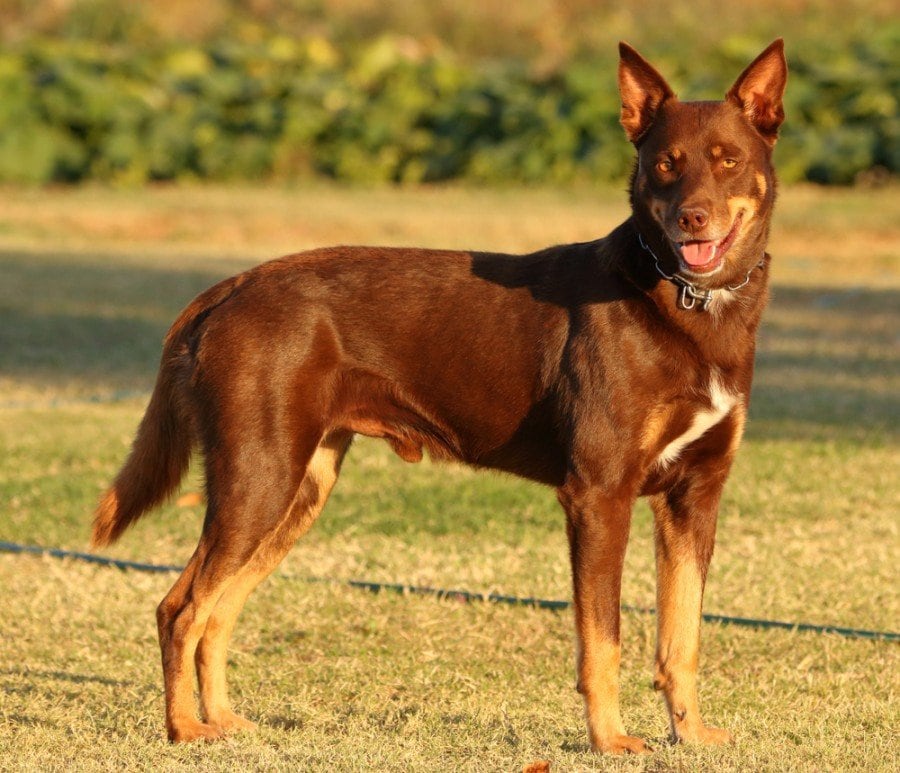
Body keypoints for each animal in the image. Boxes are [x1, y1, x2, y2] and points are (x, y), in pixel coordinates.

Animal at [93, 39, 788, 752]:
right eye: (665, 164)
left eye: (728, 161)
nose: (691, 219)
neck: (688, 304)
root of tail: (230, 288)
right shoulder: (600, 495)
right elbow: (603, 641)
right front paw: (609, 741)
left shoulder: (694, 496)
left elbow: (683, 636)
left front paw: (692, 733)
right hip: (257, 479)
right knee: (180, 608)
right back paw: (184, 728)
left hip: (297, 488)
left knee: (219, 610)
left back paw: (223, 721)